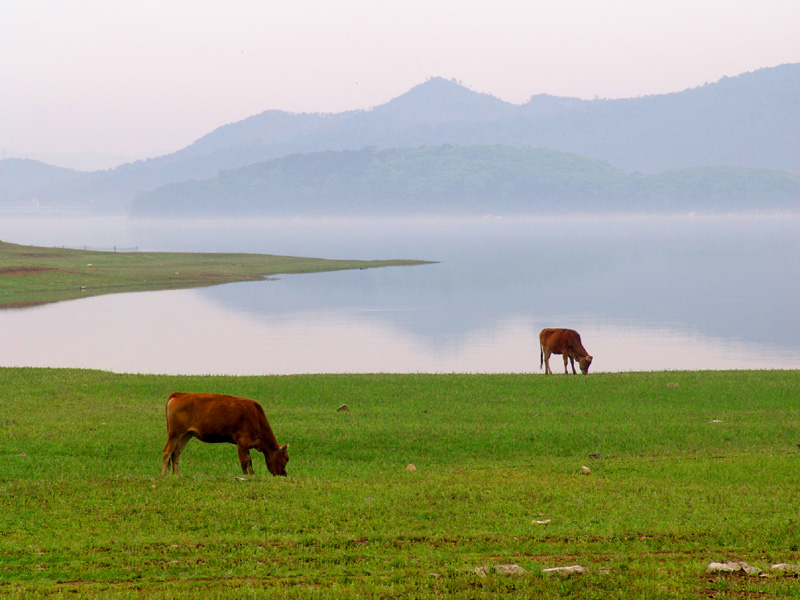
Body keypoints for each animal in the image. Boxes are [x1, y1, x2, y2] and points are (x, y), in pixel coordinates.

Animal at [161, 392, 290, 476]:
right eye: (286, 458)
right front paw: (248, 475)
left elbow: (248, 461)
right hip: (175, 434)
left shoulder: (245, 445)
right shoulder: (242, 443)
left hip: (186, 435)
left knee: (176, 453)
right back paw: (164, 475)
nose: (284, 474)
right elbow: (245, 461)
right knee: (167, 451)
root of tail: (179, 394)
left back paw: (177, 475)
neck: (256, 417)